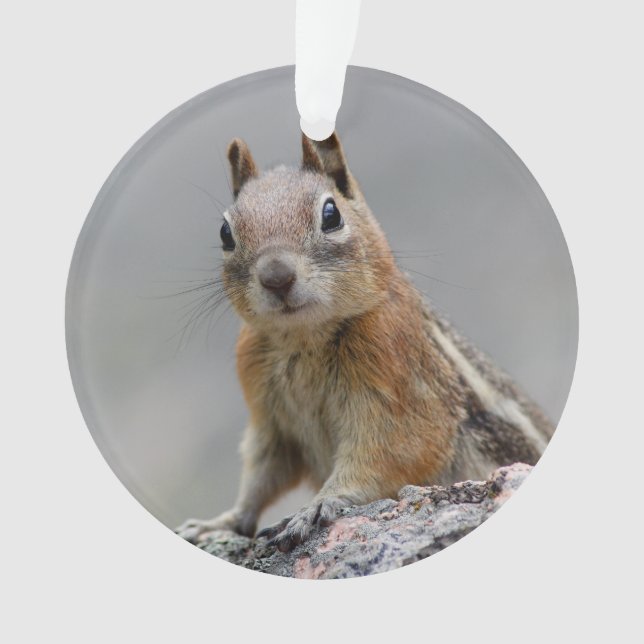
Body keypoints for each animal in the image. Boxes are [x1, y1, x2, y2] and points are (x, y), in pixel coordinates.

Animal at [176, 132, 555, 552]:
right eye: (225, 233)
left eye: (331, 215)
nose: (276, 277)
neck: (304, 338)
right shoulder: (270, 421)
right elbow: (261, 477)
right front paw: (217, 523)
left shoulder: (399, 393)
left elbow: (386, 456)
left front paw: (318, 505)